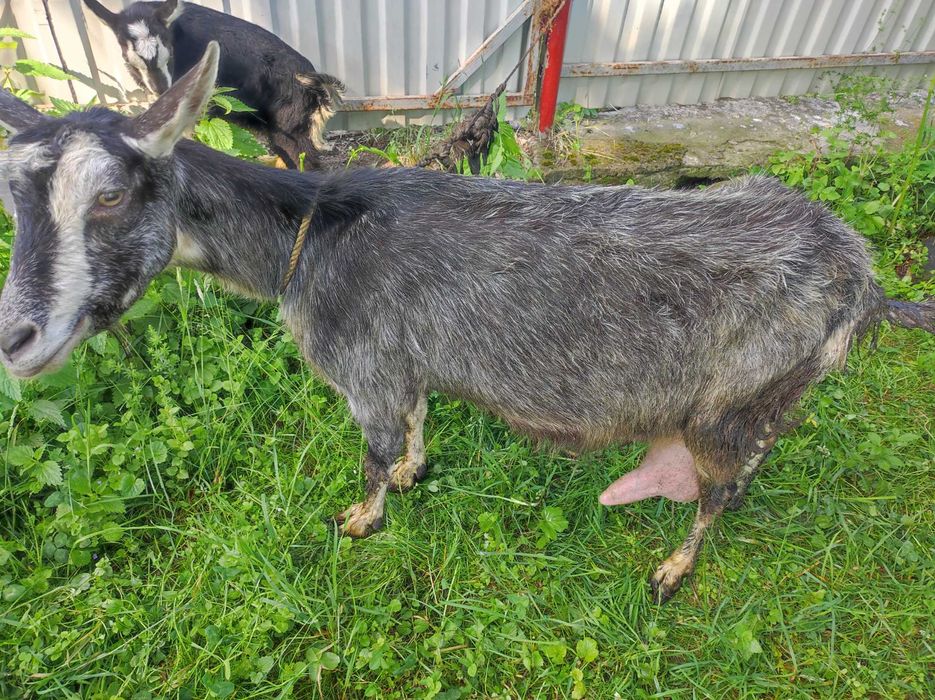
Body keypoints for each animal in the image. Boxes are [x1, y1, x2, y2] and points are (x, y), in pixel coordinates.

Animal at [0, 45, 932, 603]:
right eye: (14, 196)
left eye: (111, 194)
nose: (17, 340)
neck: (309, 236)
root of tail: (860, 278)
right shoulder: (404, 364)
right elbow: (414, 425)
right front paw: (416, 471)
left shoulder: (366, 369)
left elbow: (373, 453)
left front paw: (362, 520)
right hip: (771, 395)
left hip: (732, 400)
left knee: (720, 487)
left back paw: (673, 567)